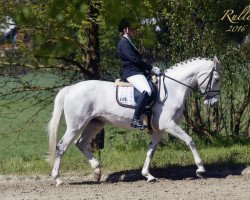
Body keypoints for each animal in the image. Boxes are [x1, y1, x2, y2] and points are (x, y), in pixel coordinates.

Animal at [47, 56, 222, 186]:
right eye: (217, 79)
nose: (213, 103)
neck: (173, 89)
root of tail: (71, 88)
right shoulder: (169, 125)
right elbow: (190, 141)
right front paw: (200, 169)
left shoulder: (159, 130)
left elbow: (151, 151)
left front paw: (148, 175)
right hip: (76, 125)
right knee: (61, 146)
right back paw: (58, 179)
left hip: (95, 123)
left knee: (81, 144)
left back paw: (97, 171)